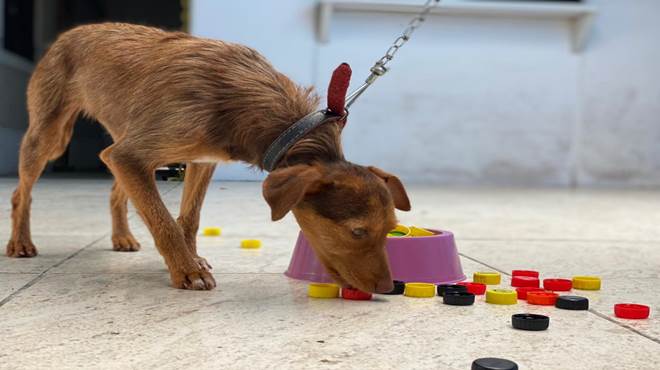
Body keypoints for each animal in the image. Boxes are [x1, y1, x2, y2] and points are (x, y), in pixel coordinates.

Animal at [7, 23, 410, 292]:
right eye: (357, 231)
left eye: (391, 229)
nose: (389, 288)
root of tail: (71, 32)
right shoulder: (132, 155)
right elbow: (164, 222)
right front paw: (188, 271)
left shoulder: (199, 160)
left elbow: (190, 218)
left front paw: (191, 259)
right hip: (50, 136)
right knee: (20, 193)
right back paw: (20, 242)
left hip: (126, 139)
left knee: (115, 191)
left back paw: (121, 236)